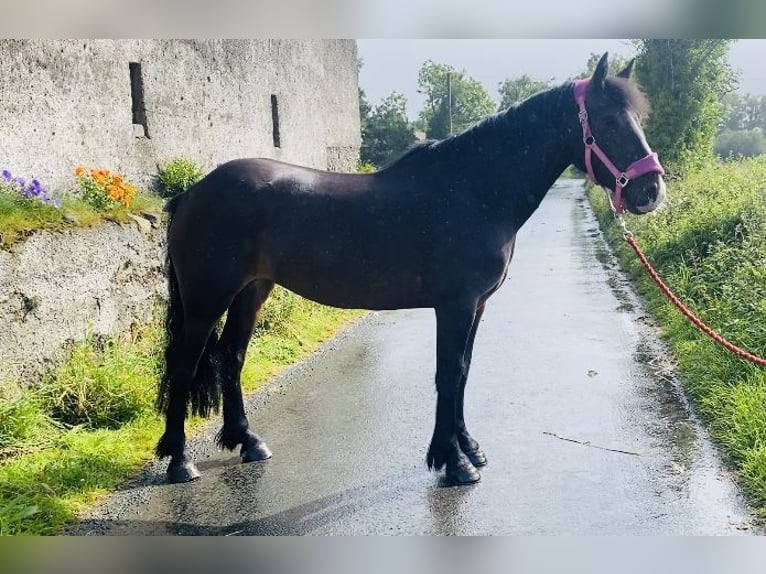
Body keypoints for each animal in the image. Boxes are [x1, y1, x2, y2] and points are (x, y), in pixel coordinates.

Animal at [154, 53, 664, 486]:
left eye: (638, 119)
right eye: (610, 121)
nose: (651, 190)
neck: (475, 189)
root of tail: (191, 193)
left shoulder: (476, 307)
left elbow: (464, 371)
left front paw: (468, 448)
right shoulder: (455, 305)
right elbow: (448, 373)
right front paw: (454, 463)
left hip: (252, 291)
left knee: (231, 357)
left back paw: (247, 441)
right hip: (206, 299)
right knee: (185, 364)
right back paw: (180, 461)